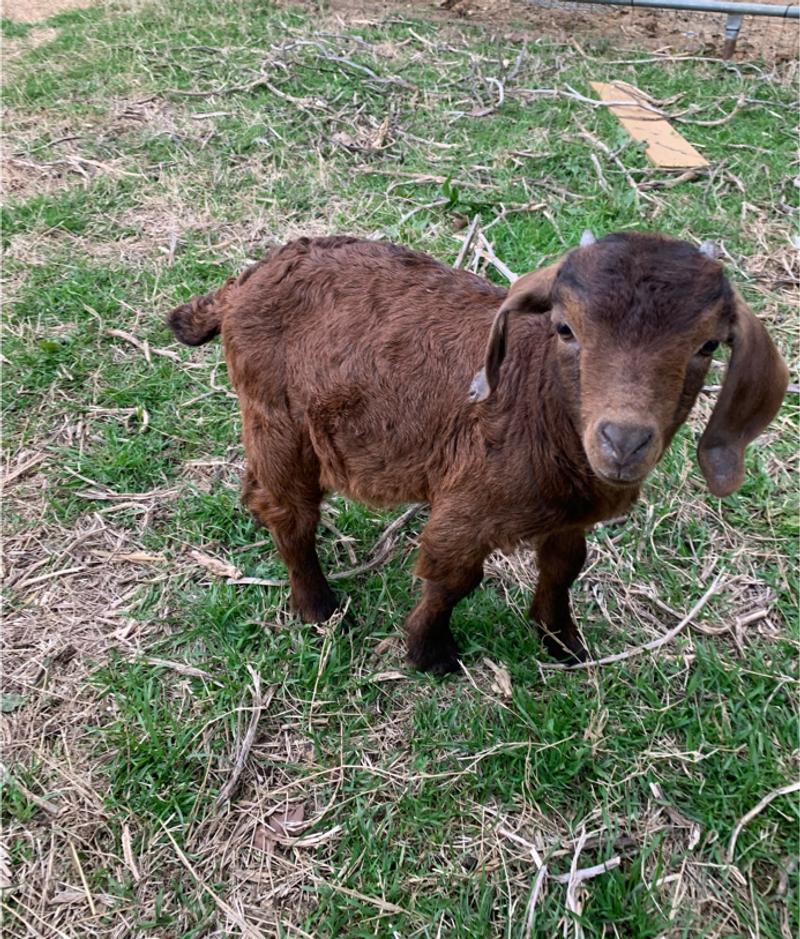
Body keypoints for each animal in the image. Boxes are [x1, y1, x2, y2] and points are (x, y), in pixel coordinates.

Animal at [168, 232, 788, 673]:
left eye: (707, 346)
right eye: (565, 328)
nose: (622, 441)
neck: (540, 400)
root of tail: (242, 283)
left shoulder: (568, 514)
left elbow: (565, 566)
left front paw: (561, 642)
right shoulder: (469, 500)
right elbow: (453, 575)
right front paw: (431, 654)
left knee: (261, 493)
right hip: (278, 416)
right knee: (291, 514)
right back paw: (320, 610)